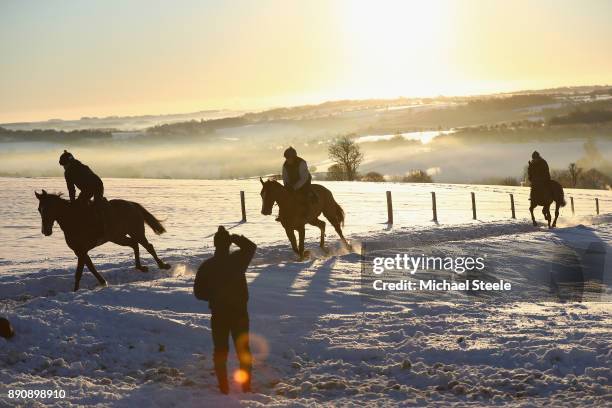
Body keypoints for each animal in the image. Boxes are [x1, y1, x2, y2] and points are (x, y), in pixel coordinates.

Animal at [35, 190, 171, 292]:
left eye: (48, 209)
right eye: (39, 209)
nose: (45, 231)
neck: (73, 219)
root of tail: (132, 204)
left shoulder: (81, 250)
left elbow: (79, 272)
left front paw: (77, 290)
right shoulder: (79, 251)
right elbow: (90, 267)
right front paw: (102, 282)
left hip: (136, 232)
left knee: (148, 246)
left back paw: (162, 265)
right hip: (118, 237)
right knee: (134, 244)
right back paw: (140, 267)